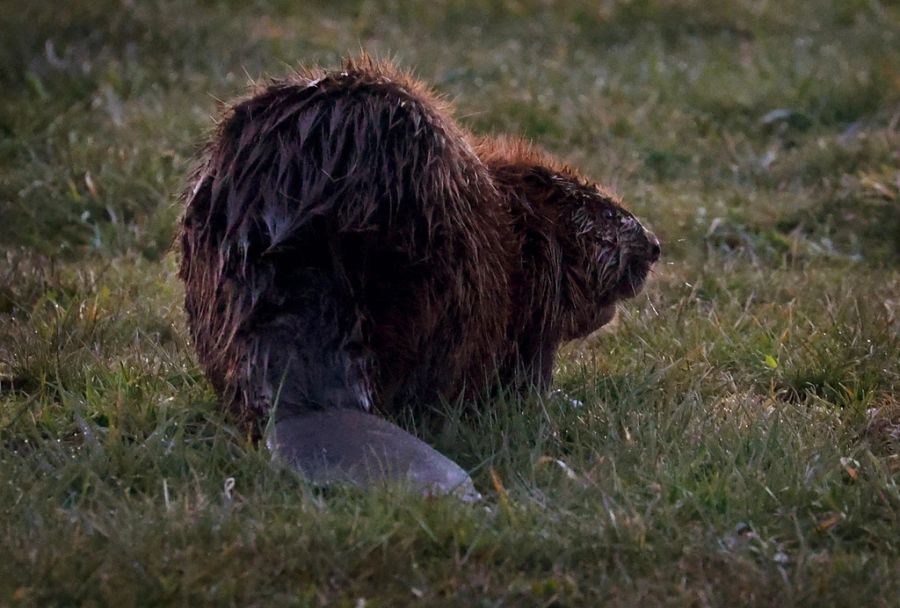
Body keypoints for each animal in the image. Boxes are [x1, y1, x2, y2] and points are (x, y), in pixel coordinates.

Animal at [179, 57, 660, 498]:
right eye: (609, 214)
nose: (655, 246)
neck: (520, 222)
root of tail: (305, 404)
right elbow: (528, 378)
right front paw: (570, 402)